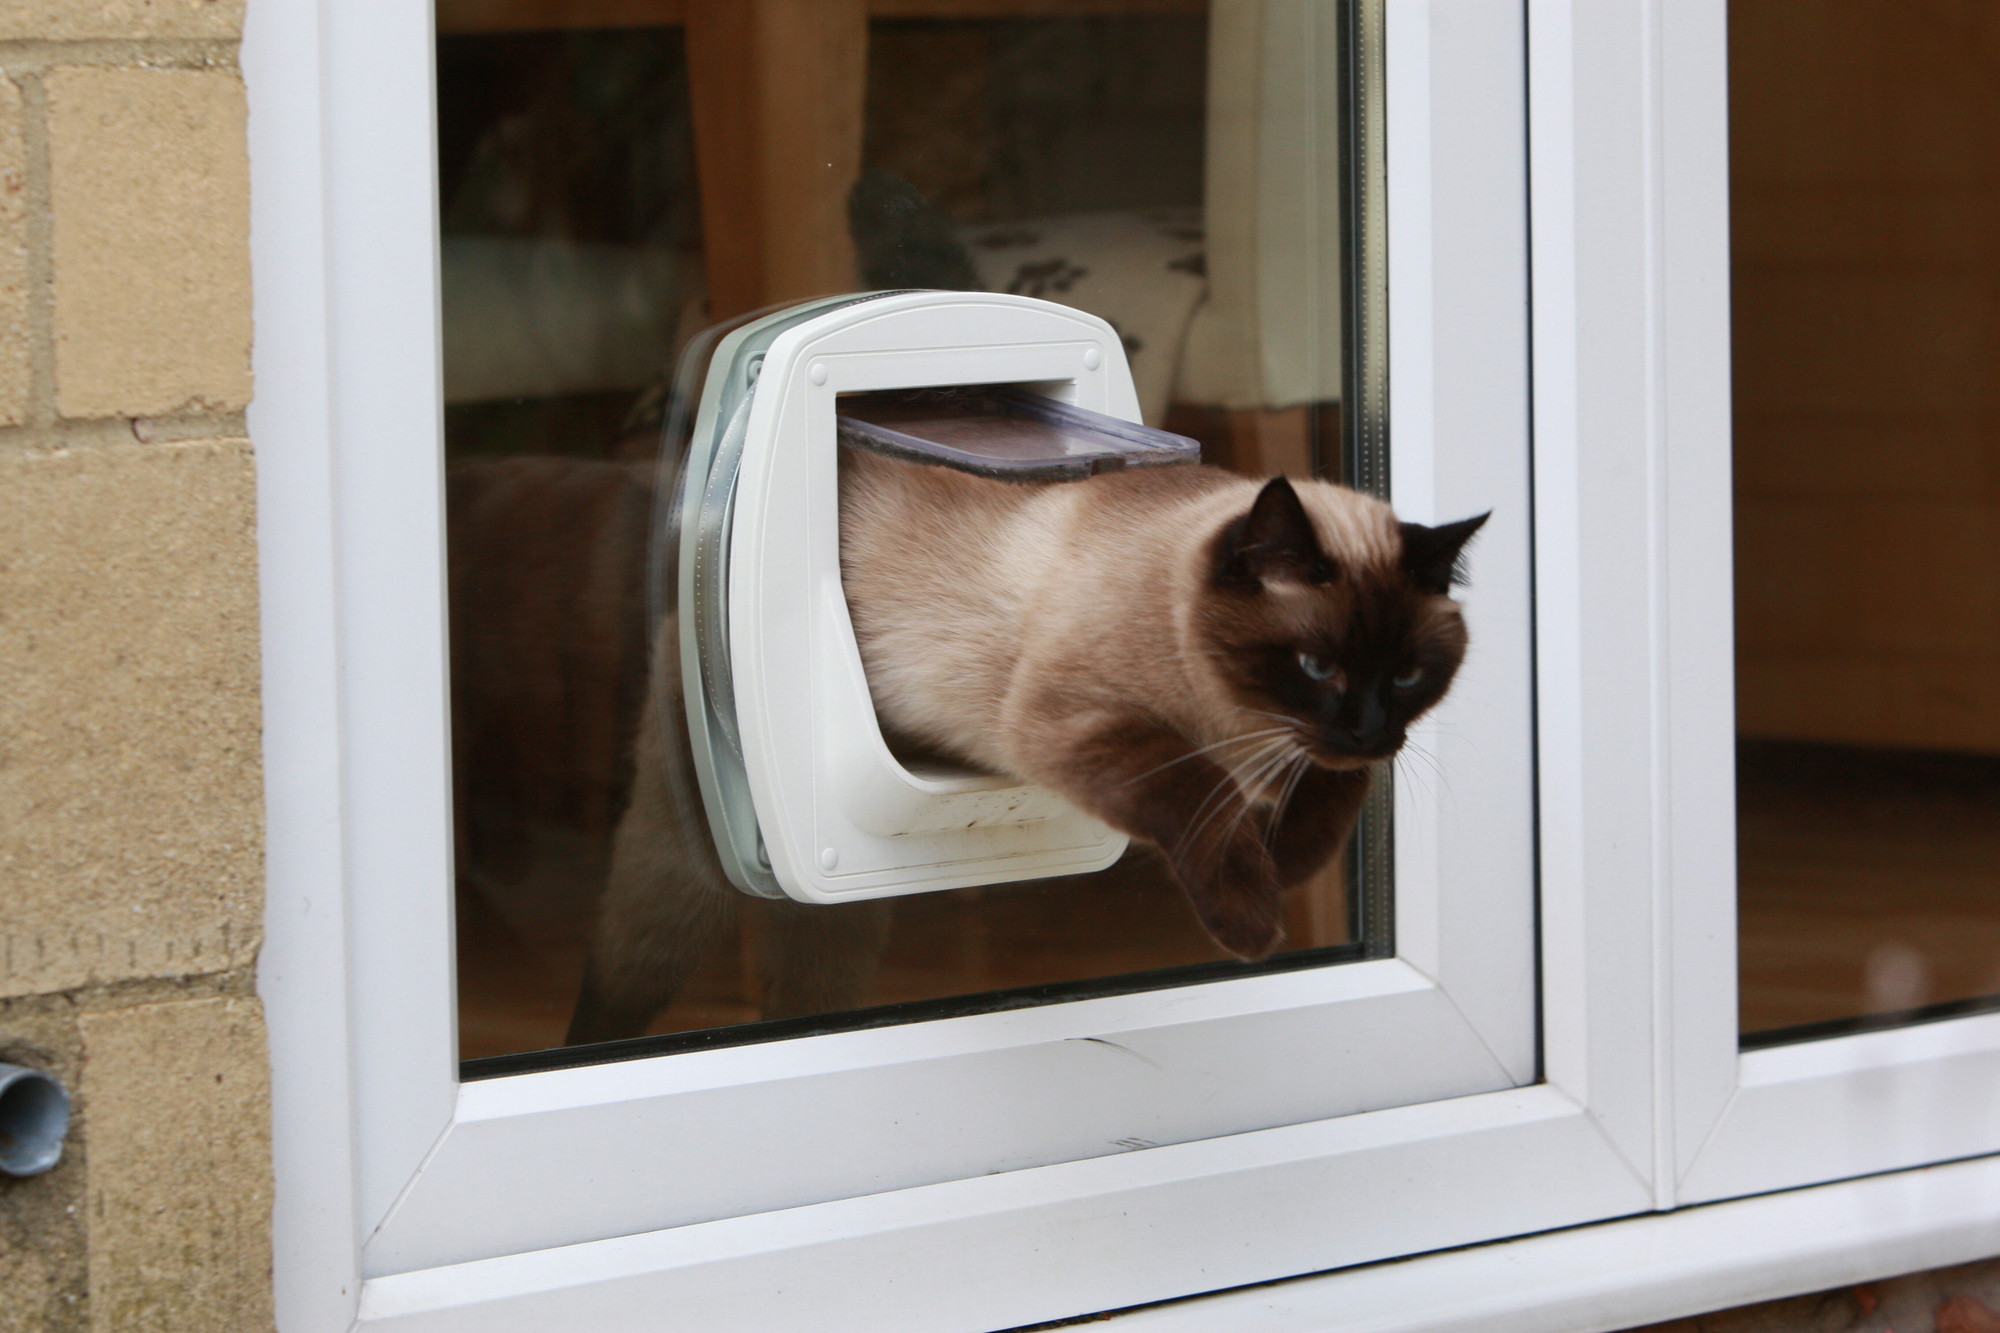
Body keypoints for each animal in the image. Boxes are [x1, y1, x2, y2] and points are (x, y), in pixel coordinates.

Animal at [564, 452, 1488, 1040]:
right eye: (1316, 665)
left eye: (1409, 674)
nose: (1369, 727)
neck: (1236, 723)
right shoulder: (1083, 728)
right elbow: (1205, 798)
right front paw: (1254, 916)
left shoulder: (1303, 754)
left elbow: (1327, 796)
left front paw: (1285, 862)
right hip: (676, 874)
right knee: (620, 979)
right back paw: (594, 1045)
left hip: (845, 926)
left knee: (805, 989)